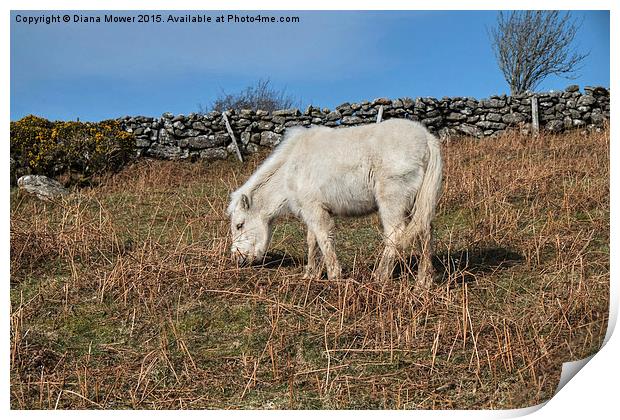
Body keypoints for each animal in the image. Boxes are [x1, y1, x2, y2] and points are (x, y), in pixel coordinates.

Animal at [226, 118, 440, 288]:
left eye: (239, 225)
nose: (237, 259)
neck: (290, 168)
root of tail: (426, 138)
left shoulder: (315, 210)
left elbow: (323, 238)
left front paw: (333, 275)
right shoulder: (311, 211)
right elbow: (312, 241)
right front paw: (310, 274)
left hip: (392, 201)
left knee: (395, 234)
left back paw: (380, 276)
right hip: (417, 203)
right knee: (424, 232)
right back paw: (424, 280)